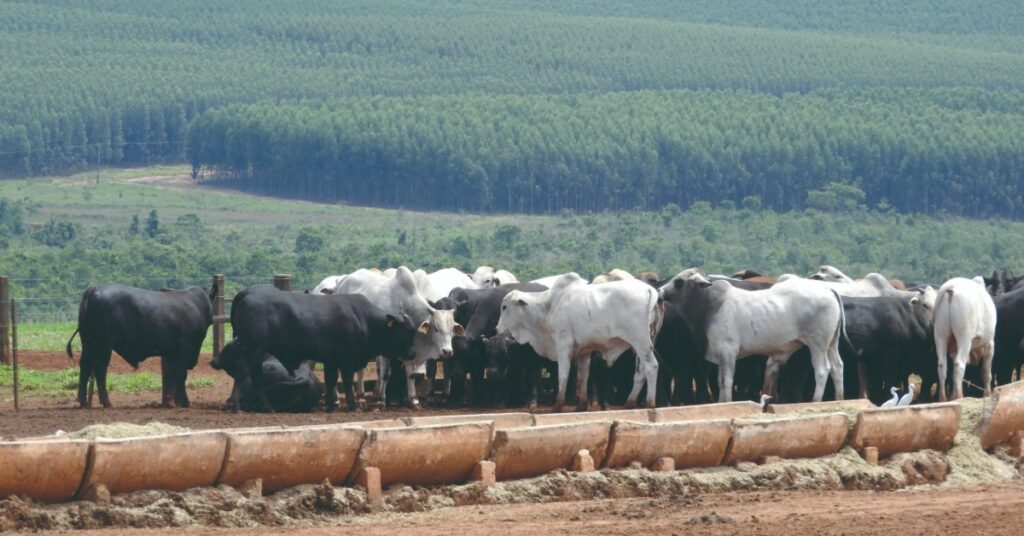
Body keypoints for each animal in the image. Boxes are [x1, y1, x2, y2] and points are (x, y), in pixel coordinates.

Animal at [65, 284, 216, 407]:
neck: (196, 305)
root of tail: (94, 289)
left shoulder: (174, 353)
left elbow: (174, 375)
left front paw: (174, 401)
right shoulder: (186, 347)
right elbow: (181, 375)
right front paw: (184, 402)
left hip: (88, 343)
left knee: (85, 366)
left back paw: (83, 402)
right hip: (103, 344)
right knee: (99, 369)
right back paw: (107, 402)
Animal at [211, 284, 419, 411]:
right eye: (406, 332)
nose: (412, 353)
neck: (364, 318)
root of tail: (249, 292)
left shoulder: (331, 359)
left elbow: (330, 380)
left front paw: (330, 406)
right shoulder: (347, 359)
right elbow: (347, 381)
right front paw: (353, 405)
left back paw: (266, 406)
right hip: (252, 348)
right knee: (244, 372)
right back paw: (238, 406)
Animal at [329, 266, 462, 409]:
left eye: (452, 329)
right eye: (436, 328)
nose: (447, 351)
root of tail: (342, 281)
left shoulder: (410, 350)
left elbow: (410, 373)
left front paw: (414, 400)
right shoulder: (385, 347)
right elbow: (385, 374)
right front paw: (381, 401)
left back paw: (359, 397)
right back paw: (348, 399)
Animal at [495, 274, 663, 414]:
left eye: (504, 307)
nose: (497, 329)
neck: (549, 306)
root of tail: (650, 290)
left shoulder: (563, 344)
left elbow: (563, 374)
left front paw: (557, 405)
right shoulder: (584, 350)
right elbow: (583, 376)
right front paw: (581, 405)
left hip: (640, 340)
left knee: (652, 366)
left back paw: (650, 403)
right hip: (641, 345)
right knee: (640, 373)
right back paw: (629, 403)